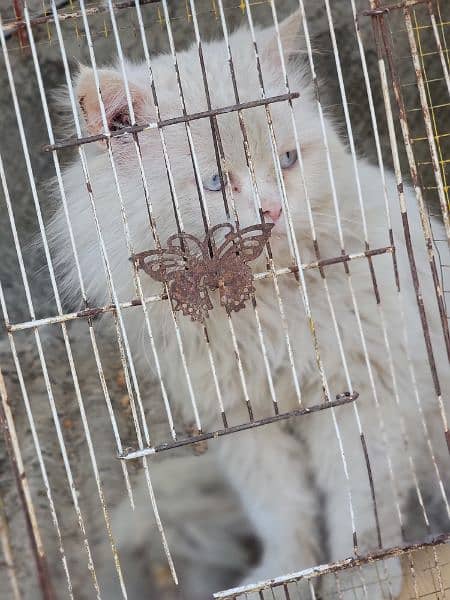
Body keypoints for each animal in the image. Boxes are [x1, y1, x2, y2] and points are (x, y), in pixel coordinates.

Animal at [47, 9, 448, 600]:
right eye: (216, 182)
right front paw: (284, 575)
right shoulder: (240, 420)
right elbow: (283, 512)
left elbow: (362, 505)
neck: (259, 303)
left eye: (288, 159)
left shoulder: (366, 391)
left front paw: (364, 575)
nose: (272, 210)